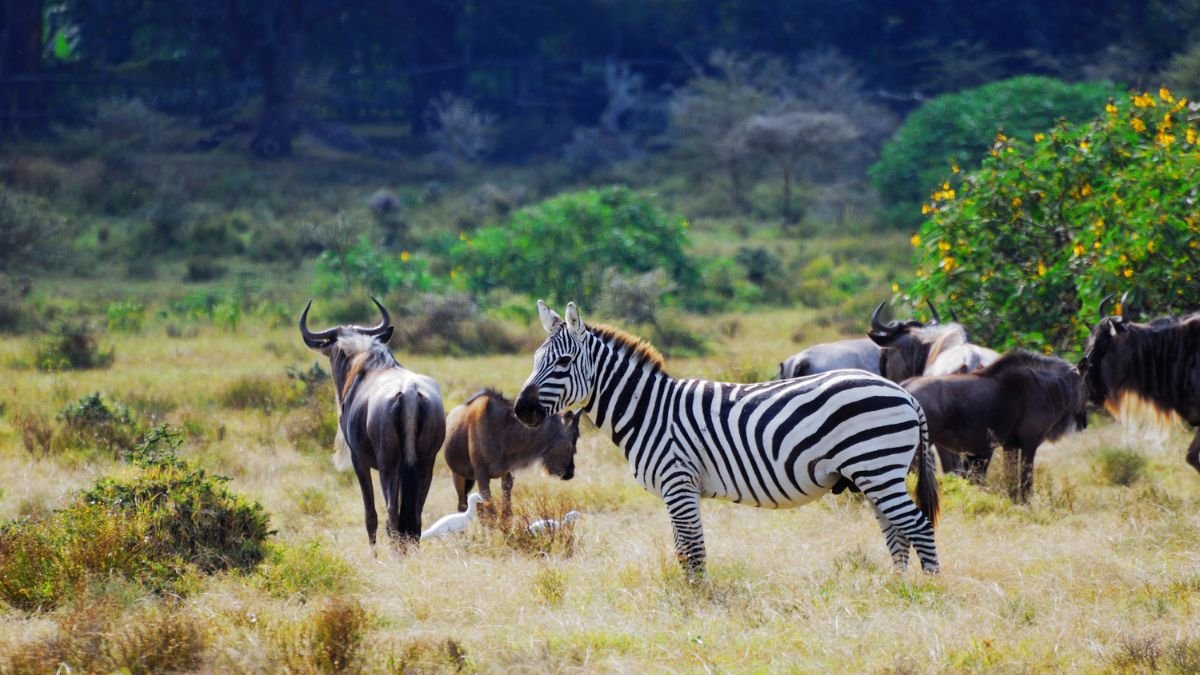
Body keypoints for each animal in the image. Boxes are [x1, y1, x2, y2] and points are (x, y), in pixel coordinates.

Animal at [514, 300, 941, 577]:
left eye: (564, 362)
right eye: (535, 361)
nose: (522, 411)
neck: (648, 410)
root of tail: (903, 393)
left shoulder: (678, 481)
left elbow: (693, 551)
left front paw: (697, 601)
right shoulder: (677, 489)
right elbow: (683, 551)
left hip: (878, 467)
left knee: (918, 526)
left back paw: (928, 591)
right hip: (873, 475)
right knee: (897, 531)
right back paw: (898, 588)